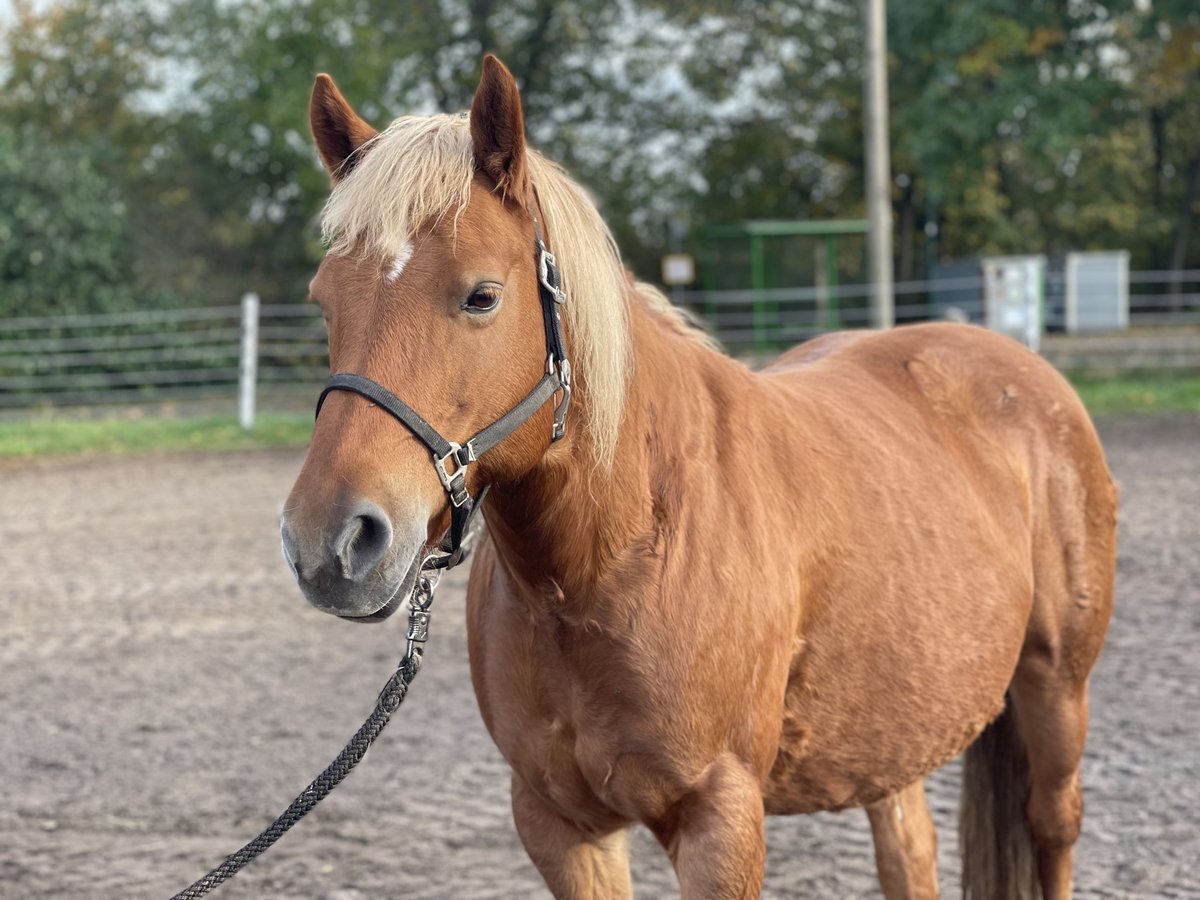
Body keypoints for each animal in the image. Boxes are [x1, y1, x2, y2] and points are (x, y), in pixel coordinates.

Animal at [280, 56, 1113, 900]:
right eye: (324, 302)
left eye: (481, 295)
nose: (330, 543)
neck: (615, 560)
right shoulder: (560, 827)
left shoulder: (722, 824)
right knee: (909, 847)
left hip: (1057, 696)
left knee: (1053, 826)